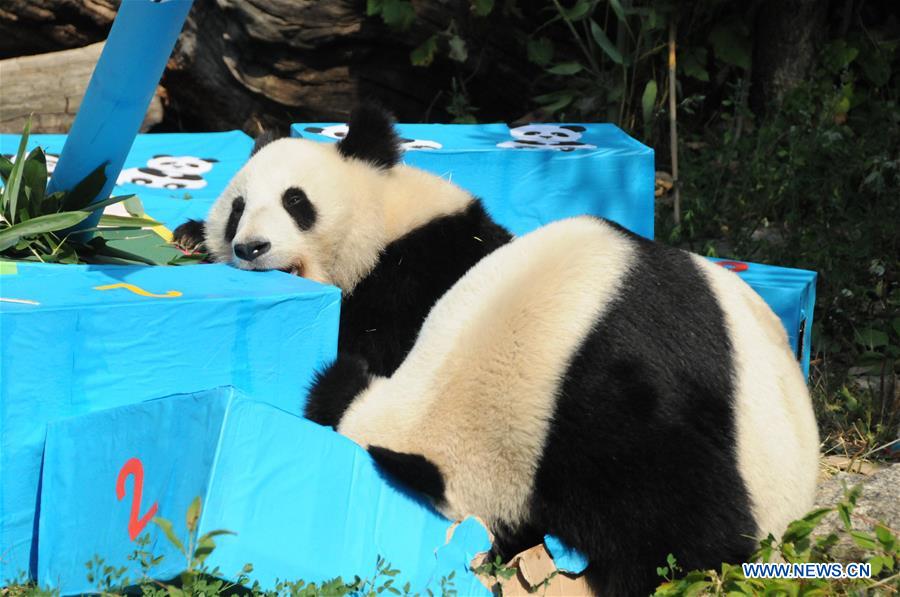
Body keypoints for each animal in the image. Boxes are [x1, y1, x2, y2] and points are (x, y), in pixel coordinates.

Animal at [173, 105, 511, 376]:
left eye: (294, 200)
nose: (250, 247)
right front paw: (191, 238)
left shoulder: (424, 272)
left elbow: (372, 350)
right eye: (237, 209)